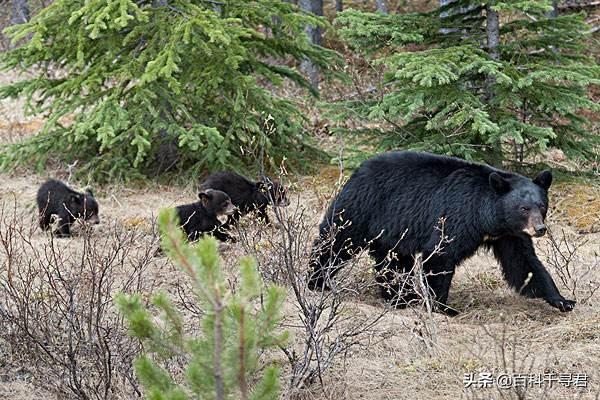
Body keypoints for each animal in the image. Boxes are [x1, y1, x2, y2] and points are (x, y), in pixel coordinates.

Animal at [310, 151, 576, 316]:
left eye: (541, 205)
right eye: (523, 208)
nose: (539, 229)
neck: (489, 219)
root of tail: (359, 169)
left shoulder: (509, 235)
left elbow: (523, 264)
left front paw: (563, 300)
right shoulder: (456, 217)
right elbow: (440, 256)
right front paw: (443, 307)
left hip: (393, 231)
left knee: (393, 263)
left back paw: (401, 298)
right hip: (362, 207)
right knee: (336, 241)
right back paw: (317, 281)